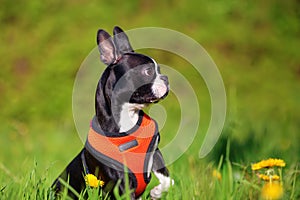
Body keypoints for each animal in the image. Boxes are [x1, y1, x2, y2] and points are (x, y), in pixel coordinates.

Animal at [51, 26, 173, 198]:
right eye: (148, 71)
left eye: (159, 70)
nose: (166, 78)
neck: (129, 117)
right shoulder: (121, 181)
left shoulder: (155, 153)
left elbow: (168, 180)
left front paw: (156, 192)